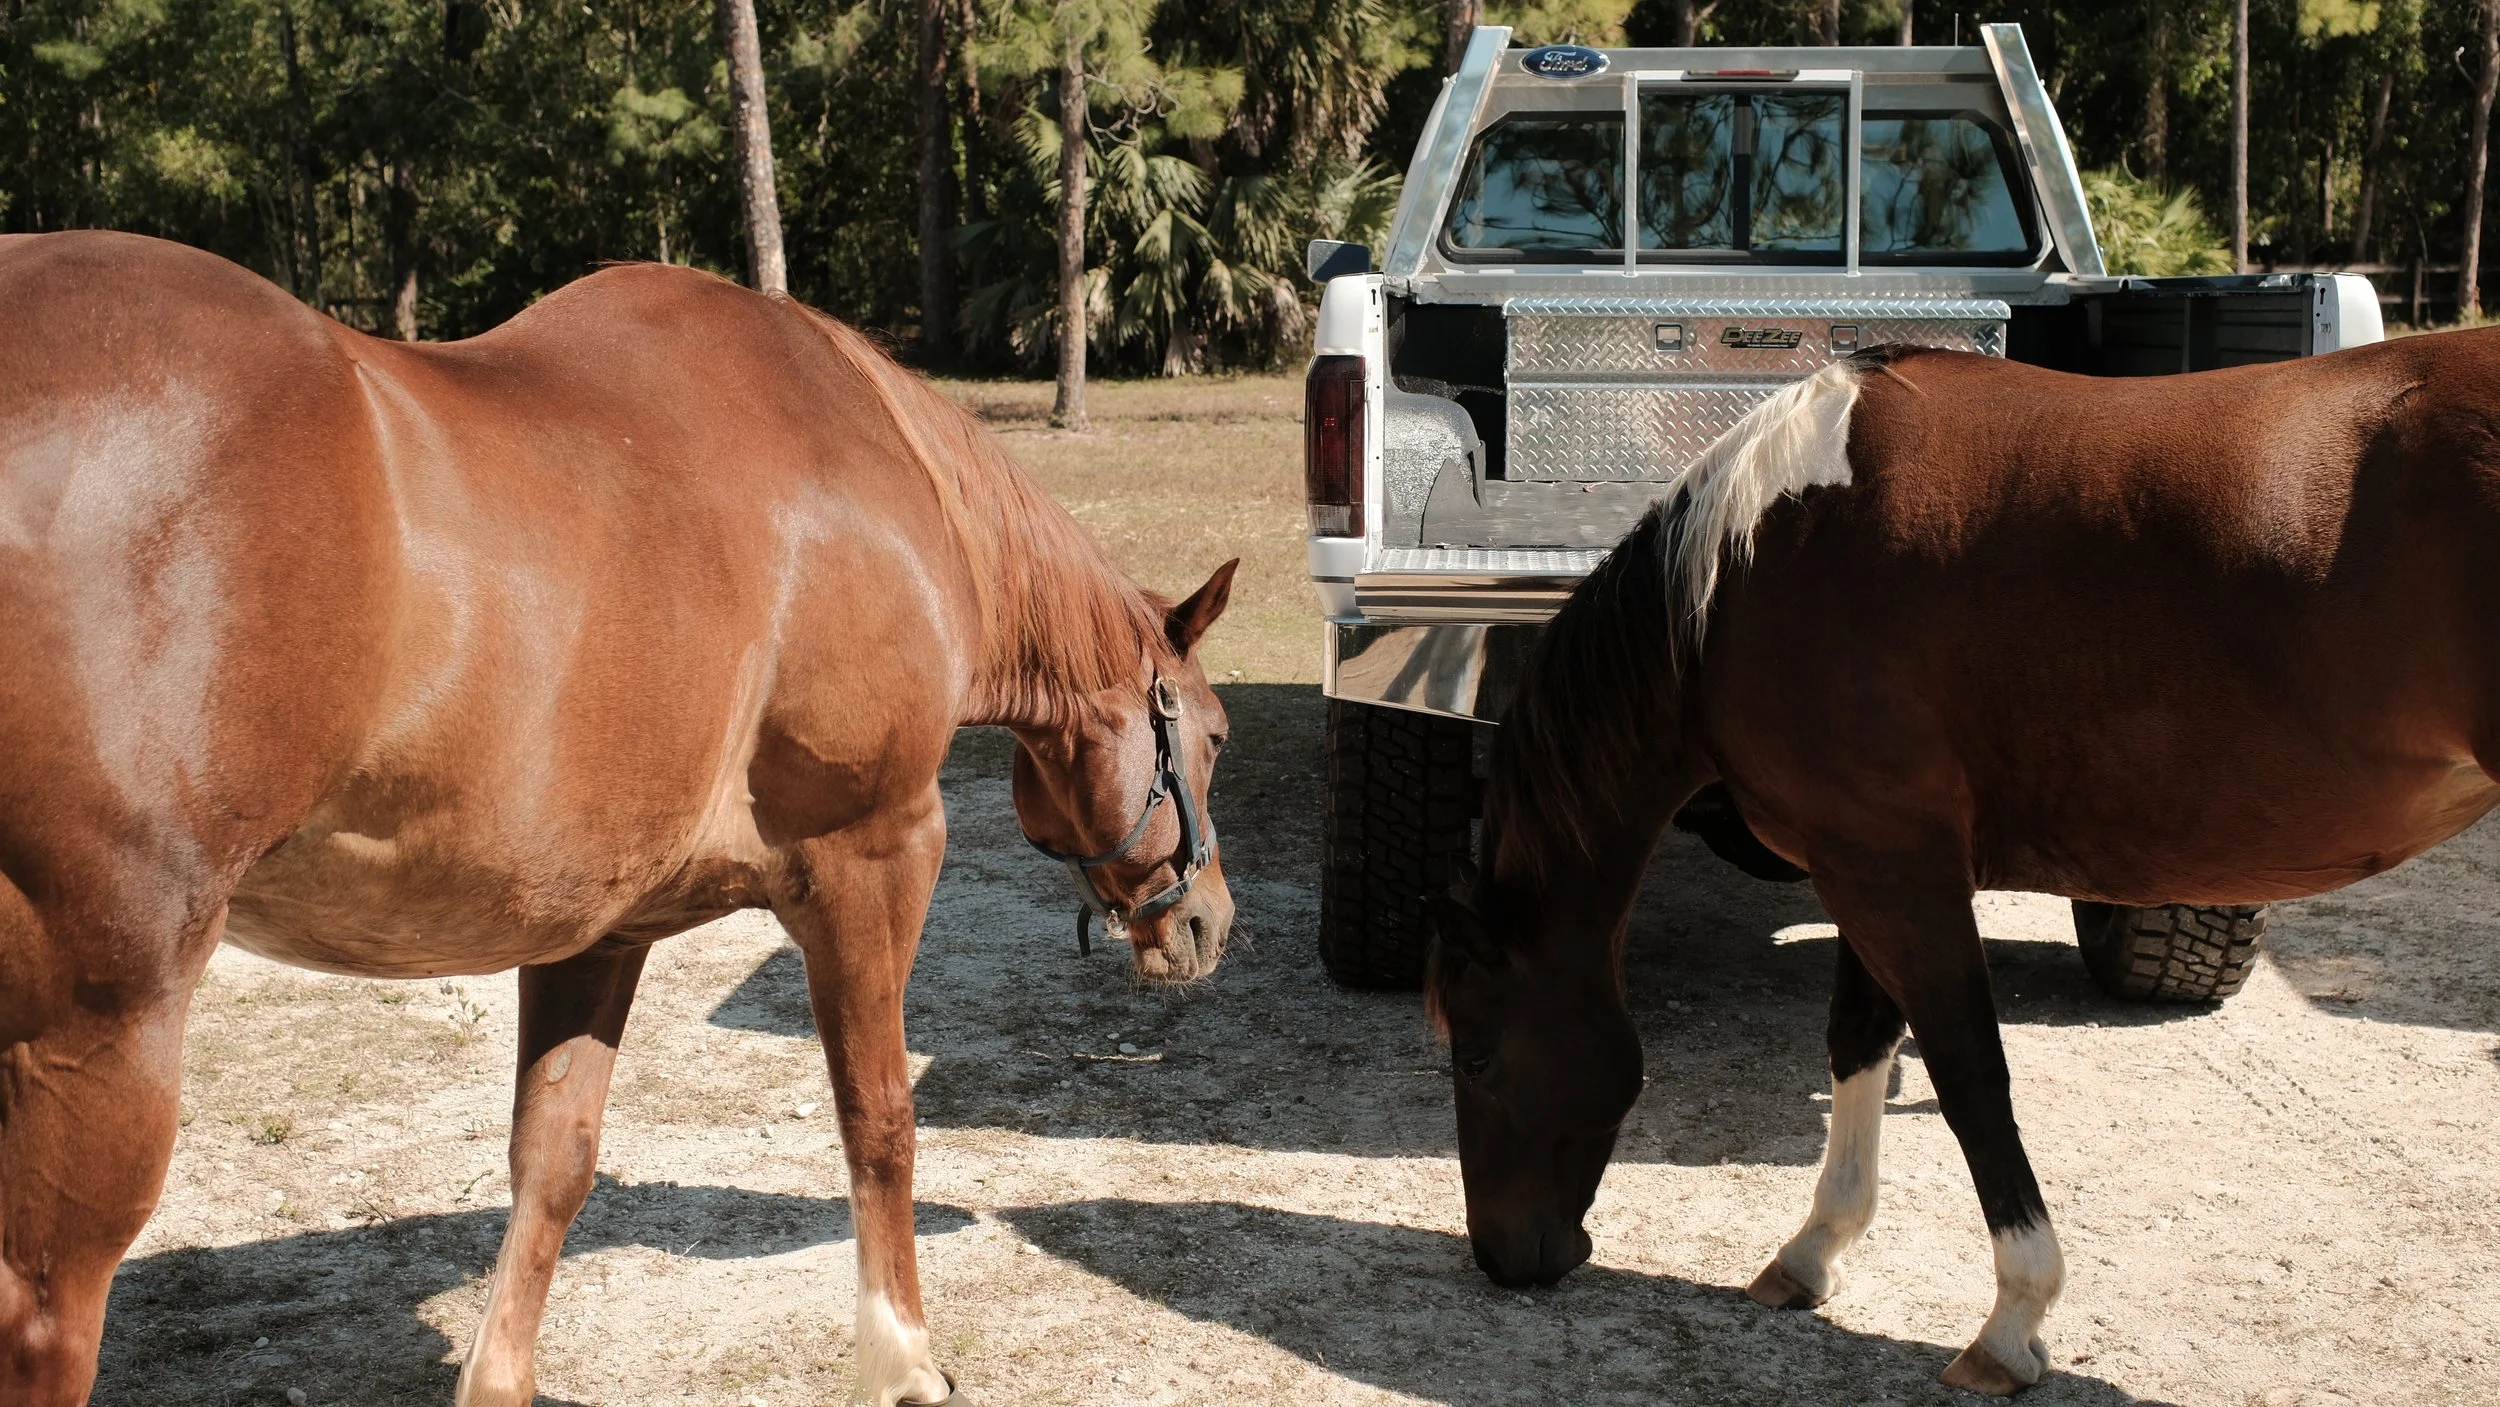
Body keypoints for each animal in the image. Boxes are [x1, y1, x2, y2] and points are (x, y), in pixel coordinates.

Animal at [0, 230, 1239, 1407]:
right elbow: (878, 1118)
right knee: (51, 1314)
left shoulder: (597, 926)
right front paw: (903, 1363)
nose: (1207, 926)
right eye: (1219, 735)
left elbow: (554, 1159)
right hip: (107, 1023)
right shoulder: (872, 853)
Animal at [1426, 335, 2500, 1395]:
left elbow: (1970, 1074)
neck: (1751, 571)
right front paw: (1814, 1248)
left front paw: (2011, 1319)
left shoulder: (1894, 868)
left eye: (1475, 1054)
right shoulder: (1864, 857)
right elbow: (1859, 1039)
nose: (1503, 1256)